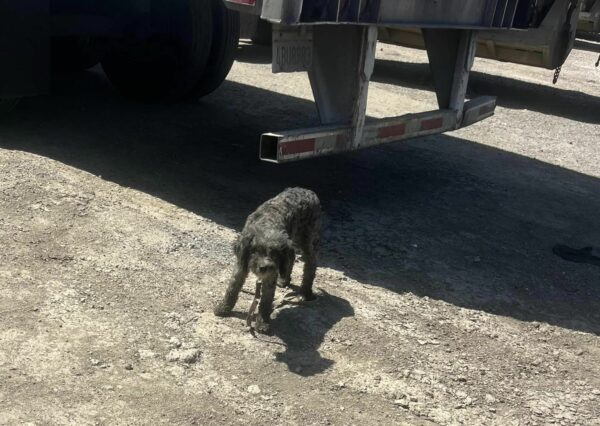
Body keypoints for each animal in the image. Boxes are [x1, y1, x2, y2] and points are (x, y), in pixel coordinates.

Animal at [213, 186, 322, 332]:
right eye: (255, 250)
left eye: (275, 253)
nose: (264, 267)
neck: (268, 223)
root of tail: (307, 190)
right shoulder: (241, 263)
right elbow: (233, 286)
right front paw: (223, 308)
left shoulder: (271, 272)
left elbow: (266, 299)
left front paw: (263, 322)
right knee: (292, 257)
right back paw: (284, 280)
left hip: (307, 238)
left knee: (311, 263)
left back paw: (305, 293)